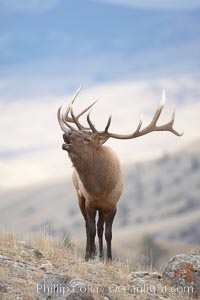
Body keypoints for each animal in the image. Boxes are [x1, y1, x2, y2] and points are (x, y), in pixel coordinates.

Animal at [56, 86, 183, 260]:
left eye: (86, 139)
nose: (66, 133)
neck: (100, 189)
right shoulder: (89, 202)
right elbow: (90, 229)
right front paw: (89, 256)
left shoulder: (112, 205)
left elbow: (108, 233)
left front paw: (108, 258)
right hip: (79, 196)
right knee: (88, 226)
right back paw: (91, 252)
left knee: (100, 228)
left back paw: (101, 254)